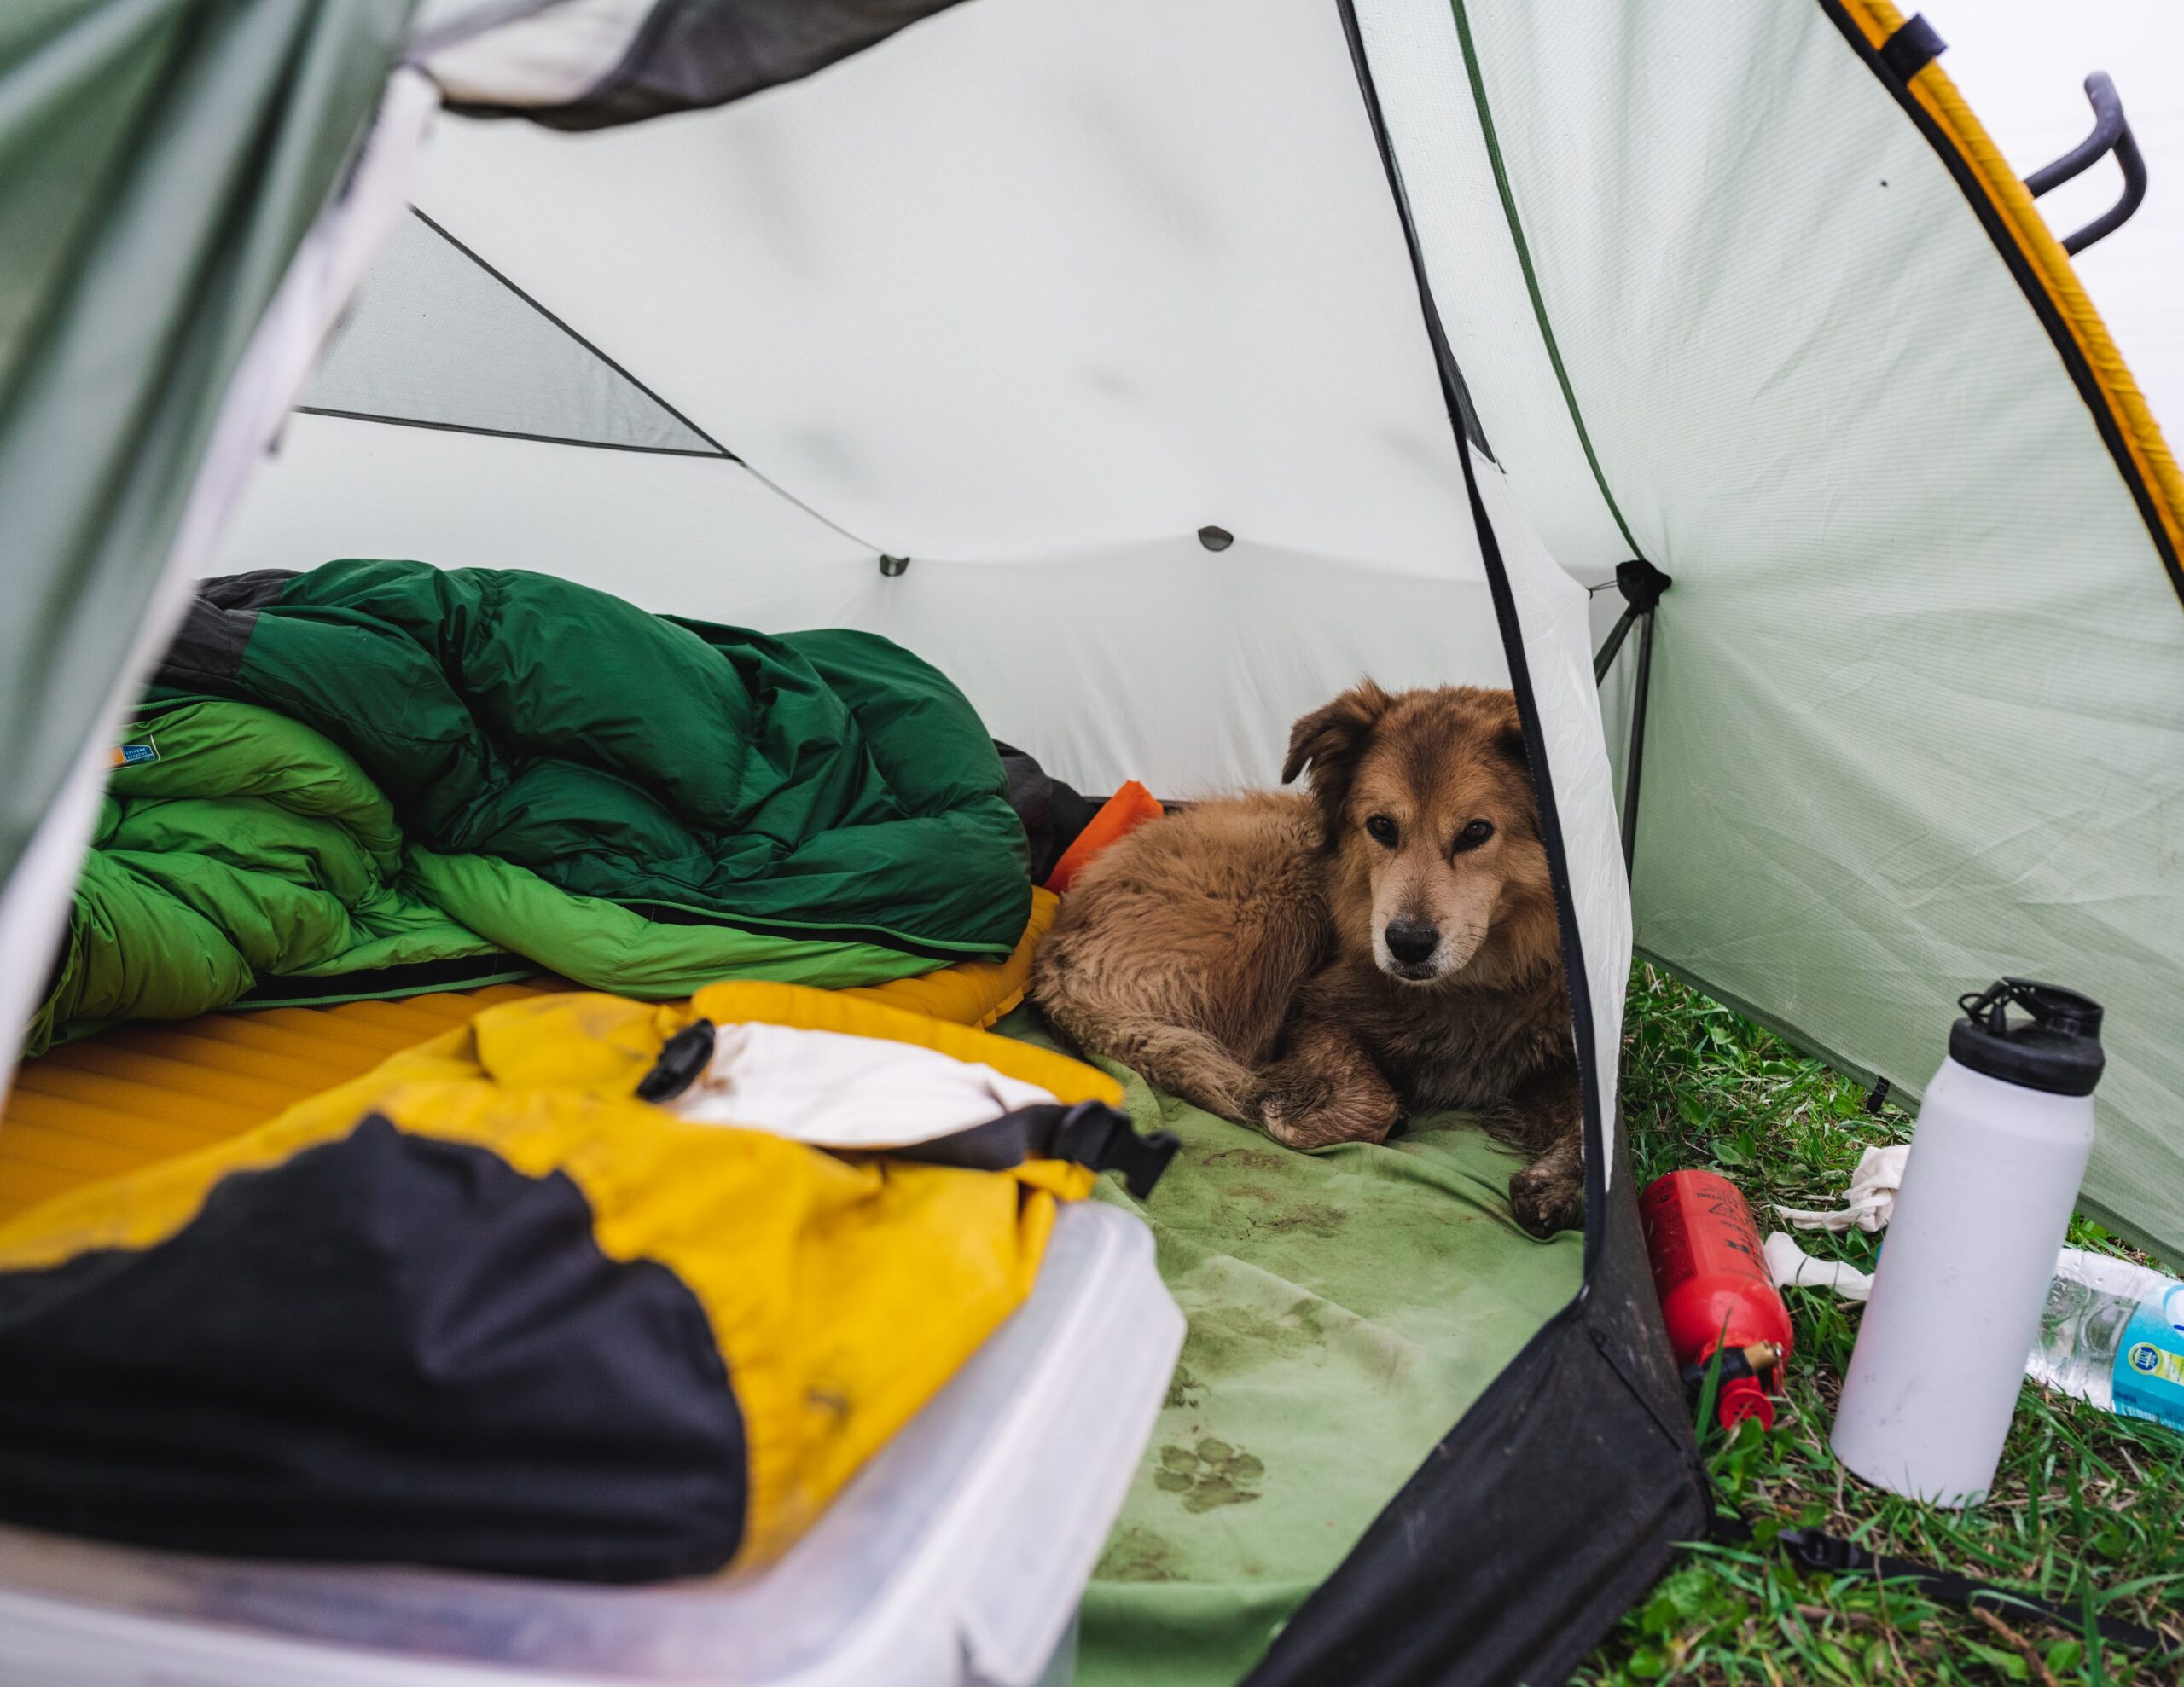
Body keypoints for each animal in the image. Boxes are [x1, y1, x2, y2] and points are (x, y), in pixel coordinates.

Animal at [1031, 676, 1581, 1231]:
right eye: (1381, 826)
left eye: (1476, 831)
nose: (1407, 945)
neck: (1474, 983)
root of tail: (1056, 948)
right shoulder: (1312, 1014)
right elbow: (1368, 1102)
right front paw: (1293, 1107)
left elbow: (1585, 1115)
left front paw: (1559, 1182)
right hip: (1285, 885)